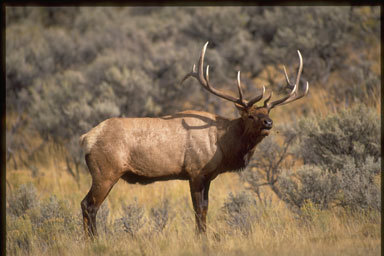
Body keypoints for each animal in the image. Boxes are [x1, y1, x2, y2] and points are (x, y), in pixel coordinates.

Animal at [79, 42, 308, 238]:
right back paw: (95, 241)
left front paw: (203, 235)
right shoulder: (195, 171)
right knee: (89, 205)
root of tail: (85, 138)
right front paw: (200, 238)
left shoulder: (208, 176)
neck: (222, 145)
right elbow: (198, 208)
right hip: (105, 172)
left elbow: (205, 208)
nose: (269, 123)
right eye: (250, 115)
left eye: (267, 112)